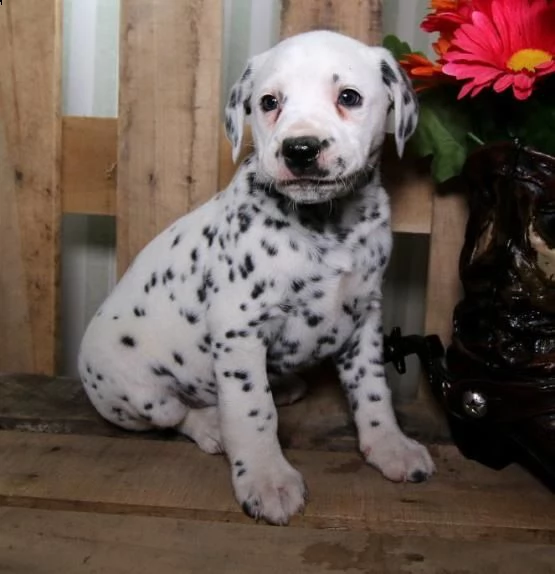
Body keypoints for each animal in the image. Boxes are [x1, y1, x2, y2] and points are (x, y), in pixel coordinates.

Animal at [79, 30, 434, 528]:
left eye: (349, 97)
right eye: (269, 102)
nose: (300, 149)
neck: (326, 226)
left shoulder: (364, 319)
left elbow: (372, 391)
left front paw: (390, 446)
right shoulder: (240, 332)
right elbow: (252, 411)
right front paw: (267, 480)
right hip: (131, 390)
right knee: (174, 414)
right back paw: (212, 425)